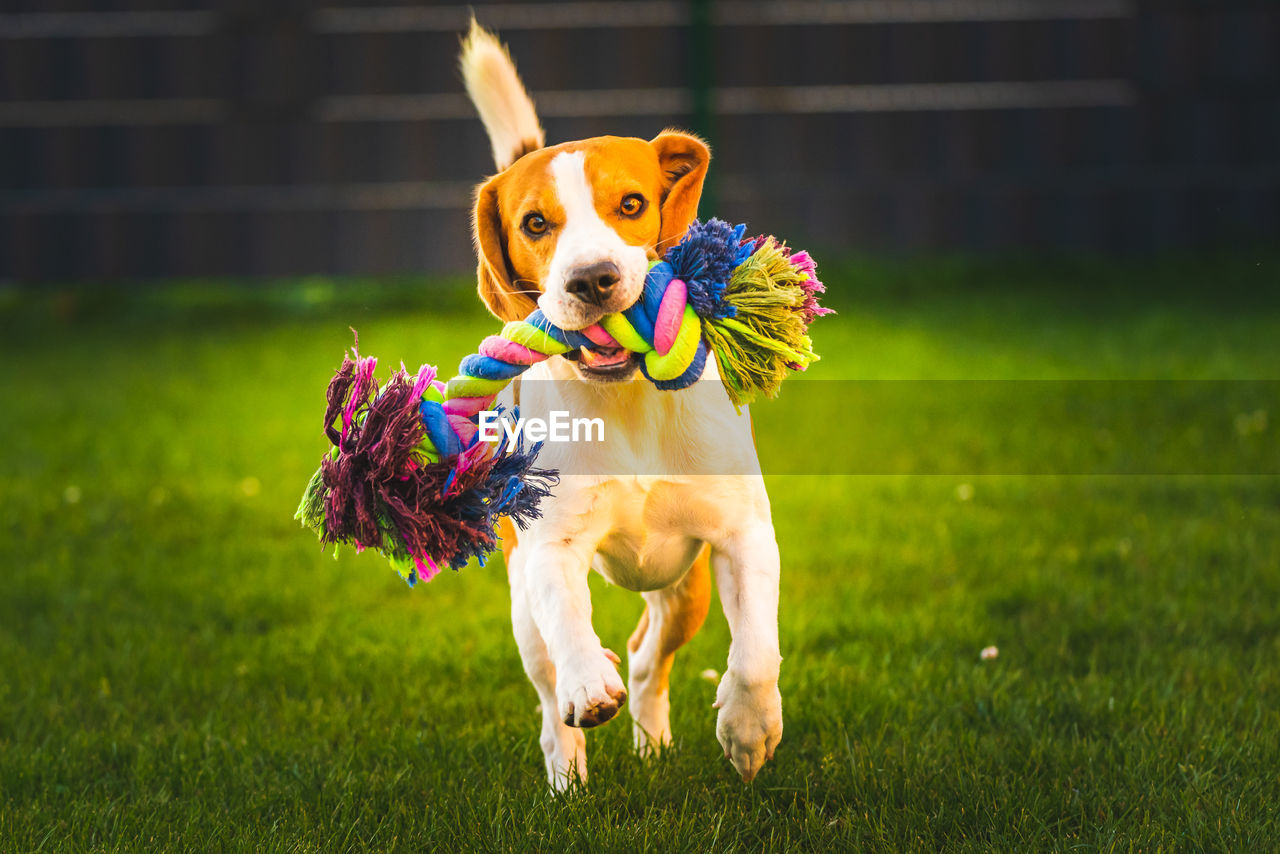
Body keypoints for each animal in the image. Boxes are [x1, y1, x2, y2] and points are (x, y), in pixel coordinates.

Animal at [460, 21, 778, 793]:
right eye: (535, 222)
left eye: (631, 205)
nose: (592, 278)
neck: (628, 398)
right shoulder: (548, 544)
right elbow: (568, 623)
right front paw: (586, 681)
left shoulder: (744, 533)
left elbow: (756, 653)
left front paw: (750, 730)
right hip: (520, 606)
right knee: (551, 692)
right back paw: (568, 774)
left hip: (684, 591)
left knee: (645, 655)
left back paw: (654, 744)